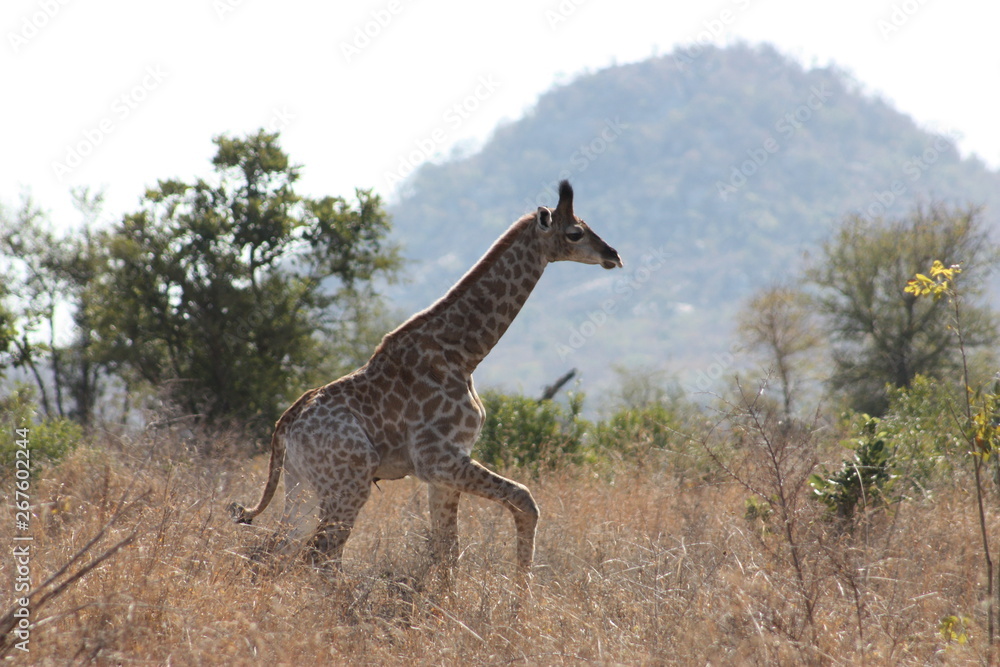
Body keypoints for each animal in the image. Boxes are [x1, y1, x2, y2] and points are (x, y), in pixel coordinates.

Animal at [230, 179, 622, 579]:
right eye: (575, 232)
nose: (614, 255)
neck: (464, 354)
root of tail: (285, 424)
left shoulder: (443, 471)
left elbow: (447, 552)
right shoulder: (437, 457)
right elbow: (523, 500)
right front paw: (520, 592)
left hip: (303, 484)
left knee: (274, 551)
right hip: (349, 483)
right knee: (319, 554)